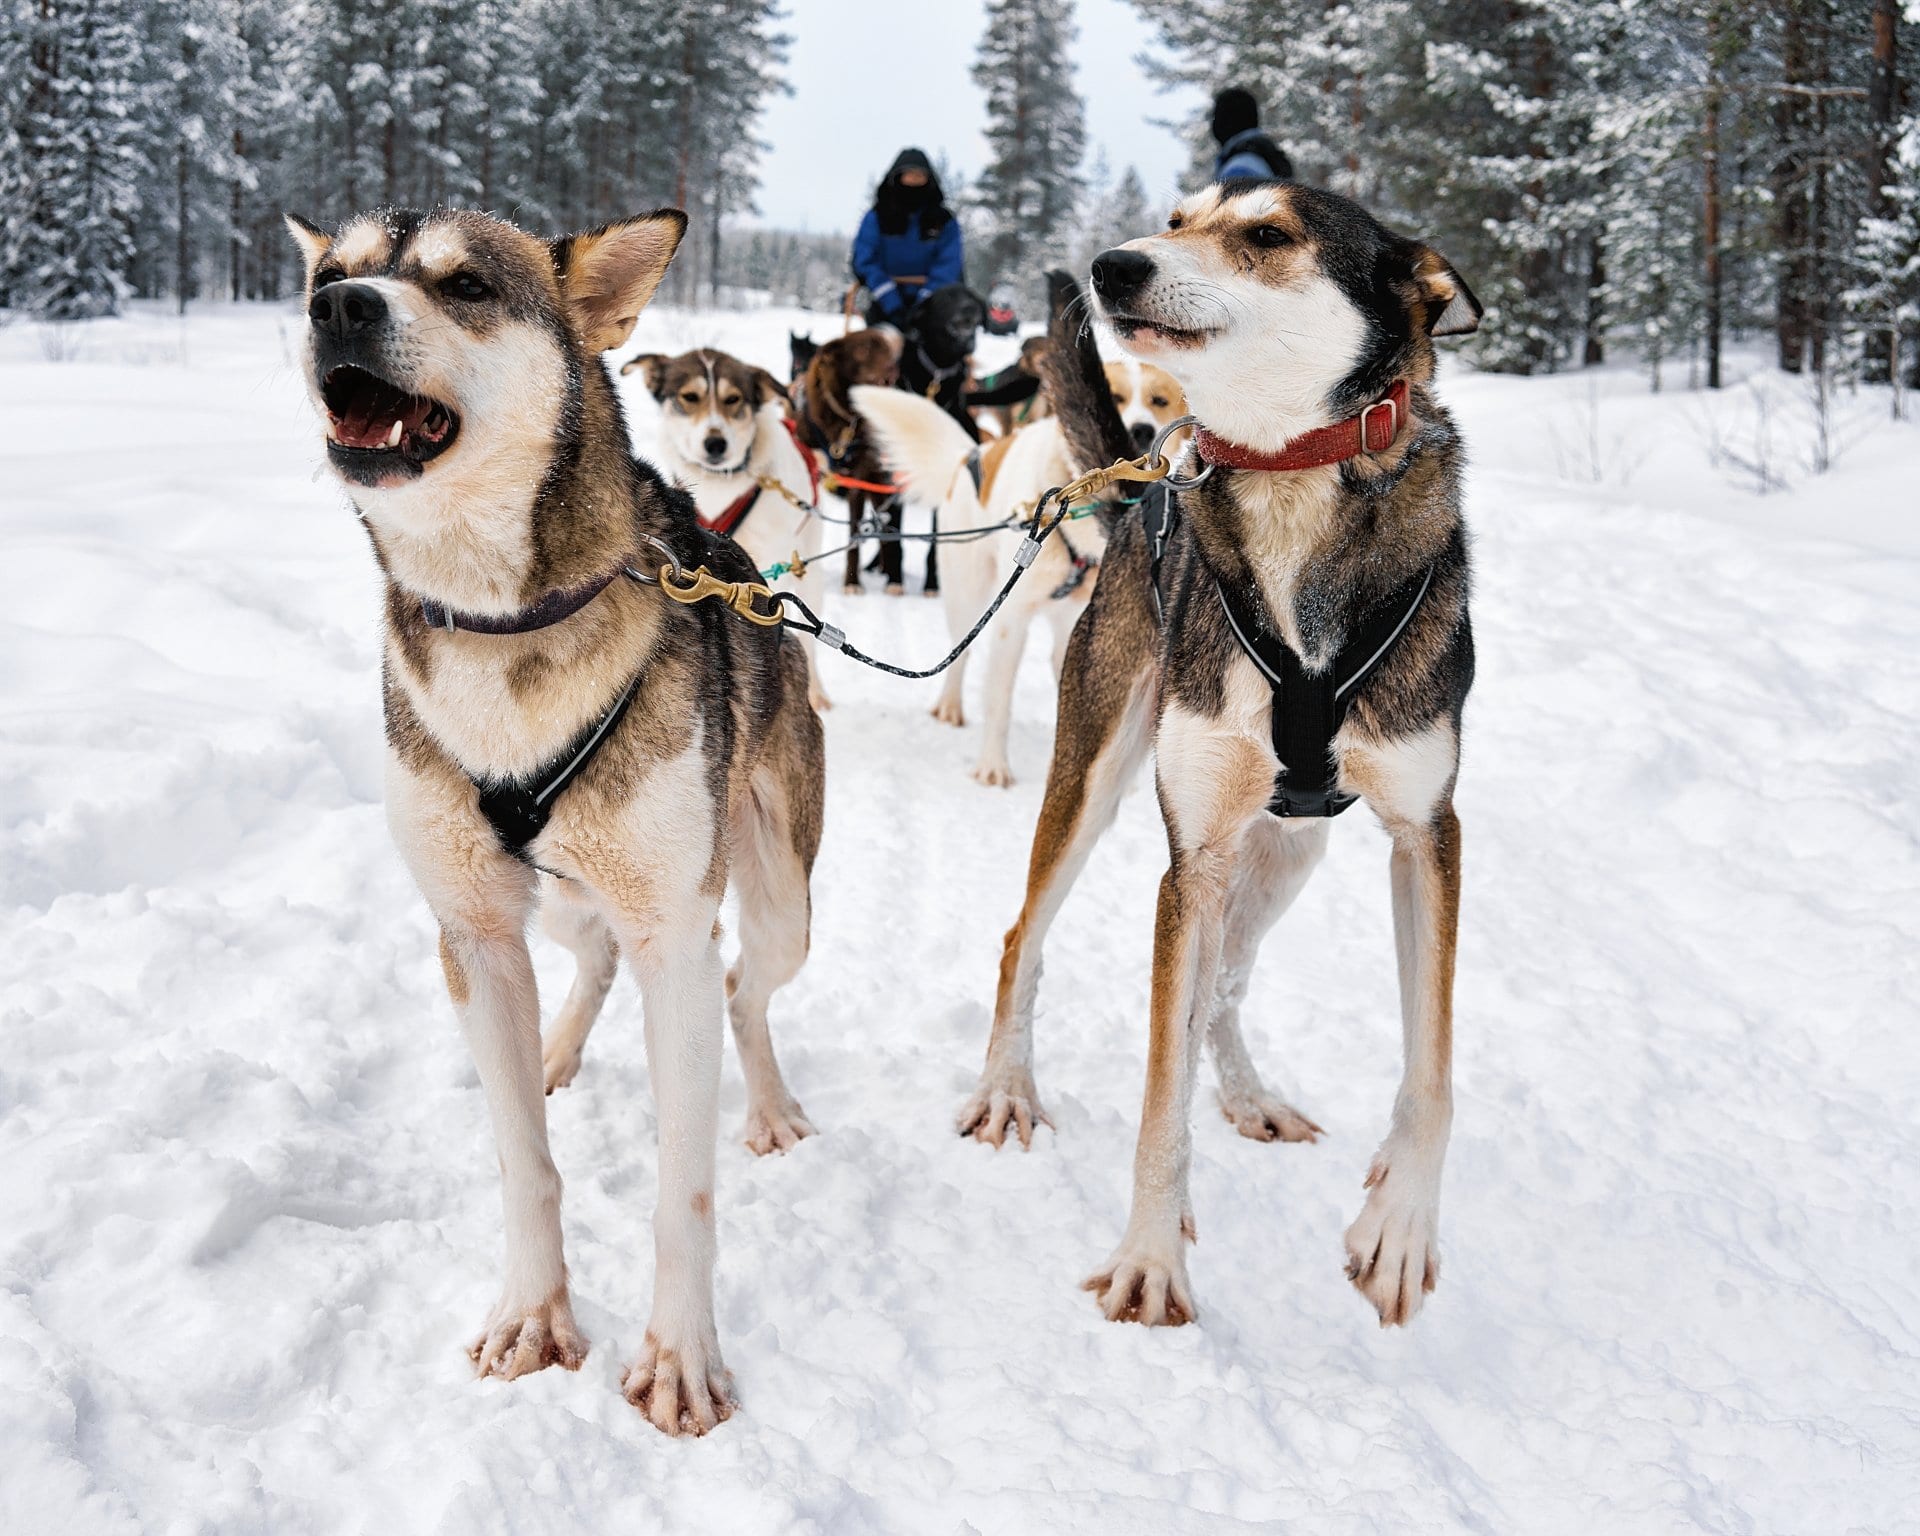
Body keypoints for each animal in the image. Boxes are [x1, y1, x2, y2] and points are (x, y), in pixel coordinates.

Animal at [284, 207, 825, 1443]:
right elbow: (523, 1161)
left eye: (467, 285)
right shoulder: (476, 938)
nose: (337, 309)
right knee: (589, 963)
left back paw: (769, 1106)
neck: (502, 620)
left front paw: (679, 1358)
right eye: (333, 271)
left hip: (777, 901)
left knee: (748, 991)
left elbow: (685, 1187)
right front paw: (533, 1313)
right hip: (572, 902)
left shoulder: (677, 933)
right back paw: (561, 1050)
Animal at [960, 176, 1482, 1328]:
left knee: (1225, 994)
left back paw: (1246, 1098)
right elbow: (1160, 1099)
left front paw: (1402, 1227)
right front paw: (1152, 1257)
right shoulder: (1188, 860)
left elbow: (1433, 1067)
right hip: (1098, 781)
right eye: (1177, 215)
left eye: (1269, 234)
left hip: (1291, 848)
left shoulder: (1427, 835)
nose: (1112, 264)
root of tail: (1139, 490)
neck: (1291, 486)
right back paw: (1007, 1088)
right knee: (1025, 938)